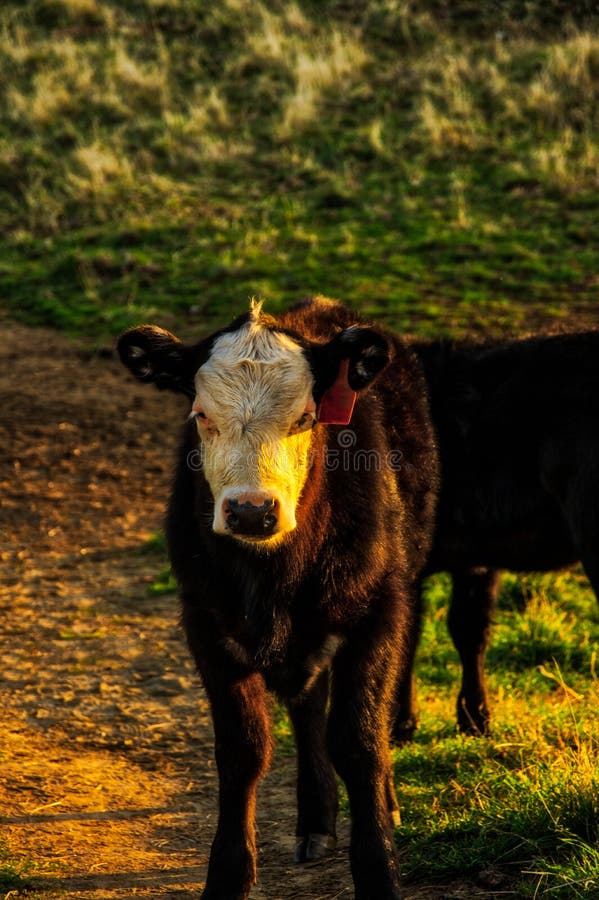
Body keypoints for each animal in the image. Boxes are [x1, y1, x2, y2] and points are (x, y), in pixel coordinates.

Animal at [117, 298, 438, 896]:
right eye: (201, 415)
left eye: (307, 417)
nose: (250, 511)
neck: (273, 579)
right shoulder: (206, 622)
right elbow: (243, 750)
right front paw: (228, 876)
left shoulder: (376, 613)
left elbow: (360, 741)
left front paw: (379, 869)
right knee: (307, 708)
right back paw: (315, 822)